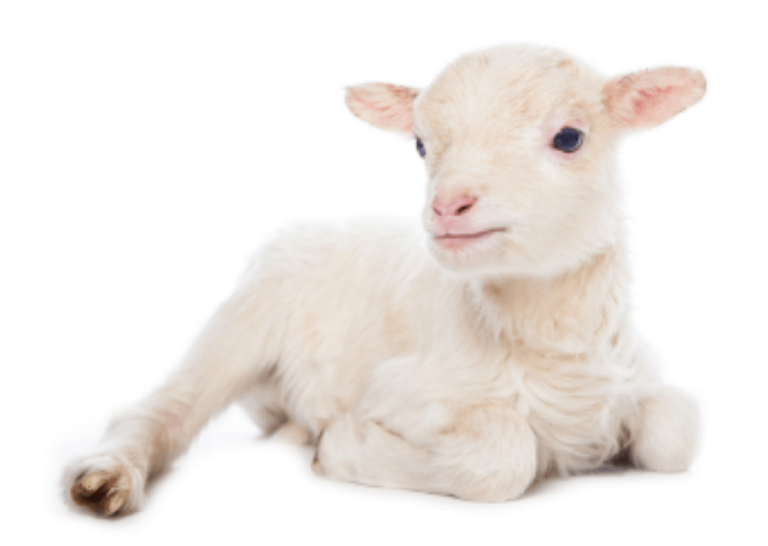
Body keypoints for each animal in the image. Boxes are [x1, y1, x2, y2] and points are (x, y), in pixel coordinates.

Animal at [63, 44, 706, 515]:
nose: (447, 206)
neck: (548, 346)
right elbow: (504, 456)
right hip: (247, 315)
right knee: (165, 408)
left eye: (570, 137)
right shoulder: (402, 392)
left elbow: (677, 430)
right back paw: (106, 478)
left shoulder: (634, 375)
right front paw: (341, 447)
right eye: (420, 145)